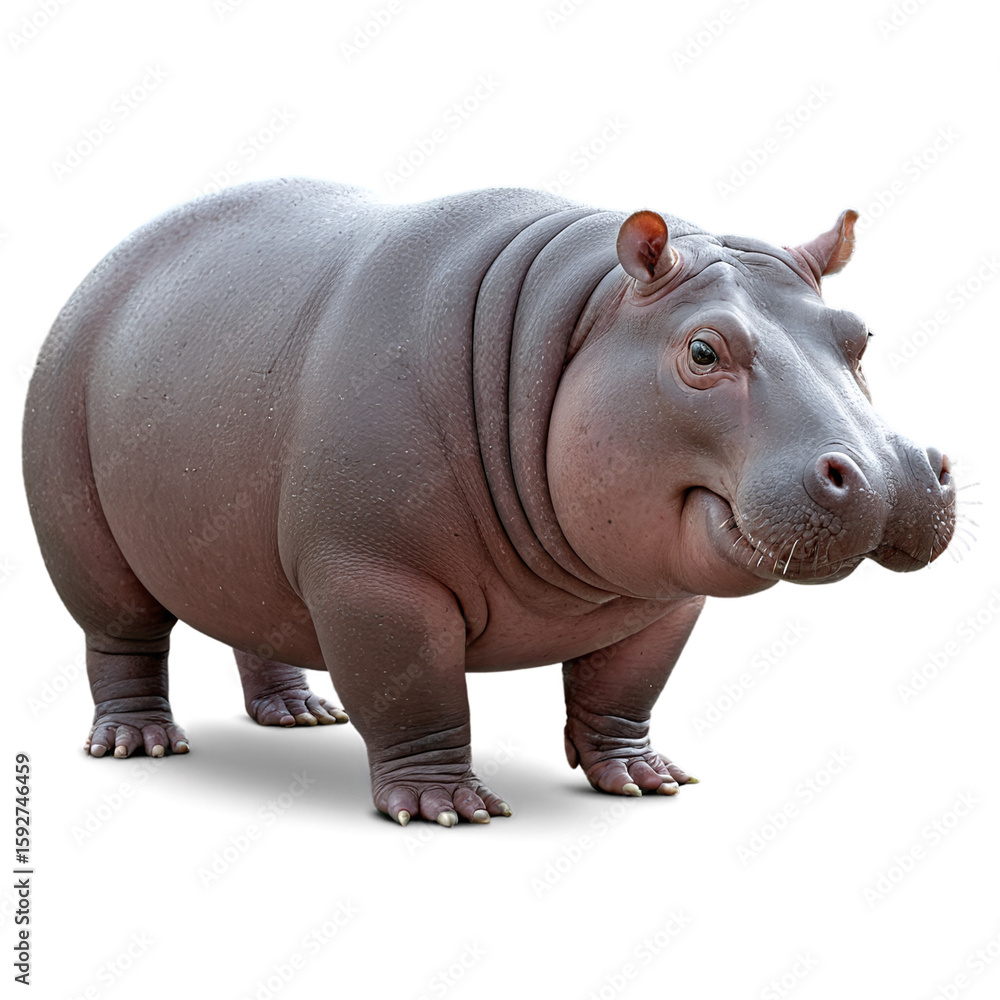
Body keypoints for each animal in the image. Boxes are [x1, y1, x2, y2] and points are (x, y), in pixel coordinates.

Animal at [22, 179, 956, 826]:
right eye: (702, 349)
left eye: (859, 336)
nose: (890, 475)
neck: (579, 324)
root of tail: (110, 262)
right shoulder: (375, 580)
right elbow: (418, 694)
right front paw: (445, 809)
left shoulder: (662, 598)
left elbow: (625, 689)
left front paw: (644, 780)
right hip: (84, 540)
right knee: (123, 642)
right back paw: (140, 743)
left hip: (241, 549)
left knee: (256, 625)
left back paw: (300, 715)